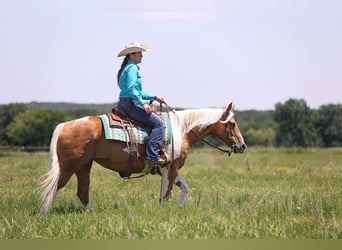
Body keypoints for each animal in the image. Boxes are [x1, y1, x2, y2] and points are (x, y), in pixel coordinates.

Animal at [39, 100, 246, 214]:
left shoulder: (169, 169)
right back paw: (42, 215)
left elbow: (184, 188)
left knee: (82, 193)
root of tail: (64, 125)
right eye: (232, 124)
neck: (181, 130)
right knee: (53, 190)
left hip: (84, 167)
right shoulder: (169, 168)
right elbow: (166, 195)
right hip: (68, 168)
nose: (242, 146)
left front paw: (178, 207)